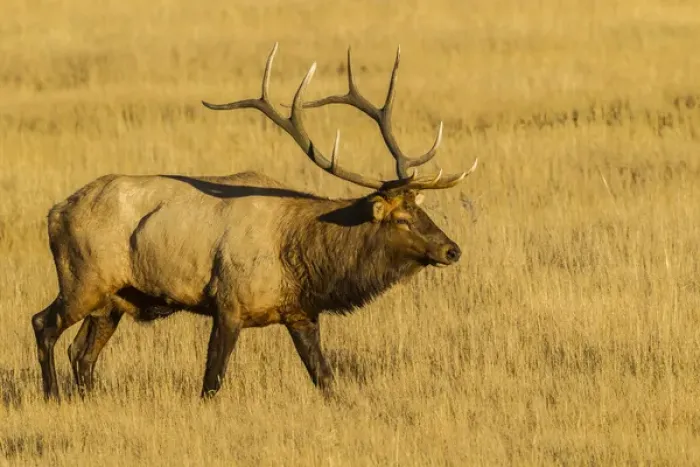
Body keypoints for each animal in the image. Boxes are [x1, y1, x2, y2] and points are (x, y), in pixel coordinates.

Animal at [31, 43, 478, 400]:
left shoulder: (300, 313)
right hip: (82, 279)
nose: (452, 249)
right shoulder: (227, 303)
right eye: (402, 217)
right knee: (43, 324)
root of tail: (55, 212)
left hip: (113, 300)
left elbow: (325, 379)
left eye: (422, 210)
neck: (302, 256)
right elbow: (211, 383)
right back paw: (52, 396)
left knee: (81, 352)